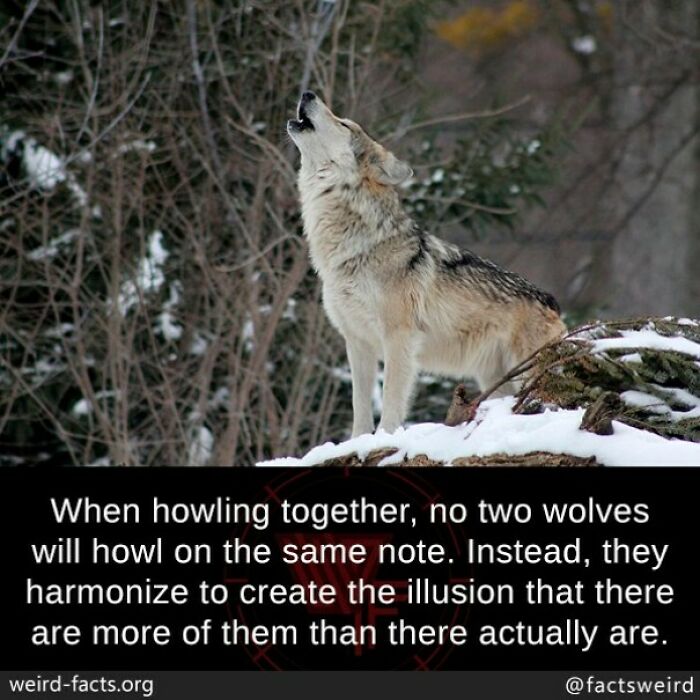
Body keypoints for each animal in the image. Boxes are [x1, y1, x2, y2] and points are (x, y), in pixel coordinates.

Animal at [288, 91, 566, 436]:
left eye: (344, 123)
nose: (307, 93)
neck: (354, 247)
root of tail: (552, 301)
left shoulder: (399, 338)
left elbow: (391, 401)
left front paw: (385, 438)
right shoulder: (357, 342)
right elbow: (359, 407)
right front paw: (358, 441)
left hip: (524, 371)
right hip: (495, 380)